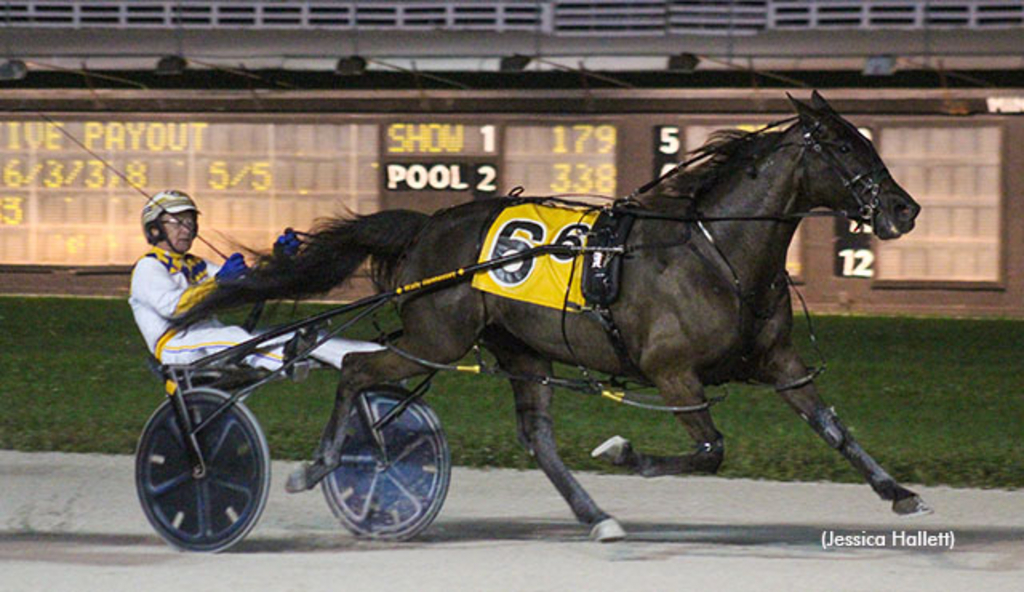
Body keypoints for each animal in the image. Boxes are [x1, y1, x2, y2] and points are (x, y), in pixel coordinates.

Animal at [182, 92, 929, 540]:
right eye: (846, 148)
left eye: (869, 140)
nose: (905, 208)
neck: (713, 250)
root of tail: (429, 226)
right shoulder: (673, 372)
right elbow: (709, 450)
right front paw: (627, 453)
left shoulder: (778, 362)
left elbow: (832, 426)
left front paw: (899, 492)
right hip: (437, 336)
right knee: (360, 371)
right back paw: (319, 466)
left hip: (520, 349)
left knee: (535, 437)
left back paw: (594, 515)